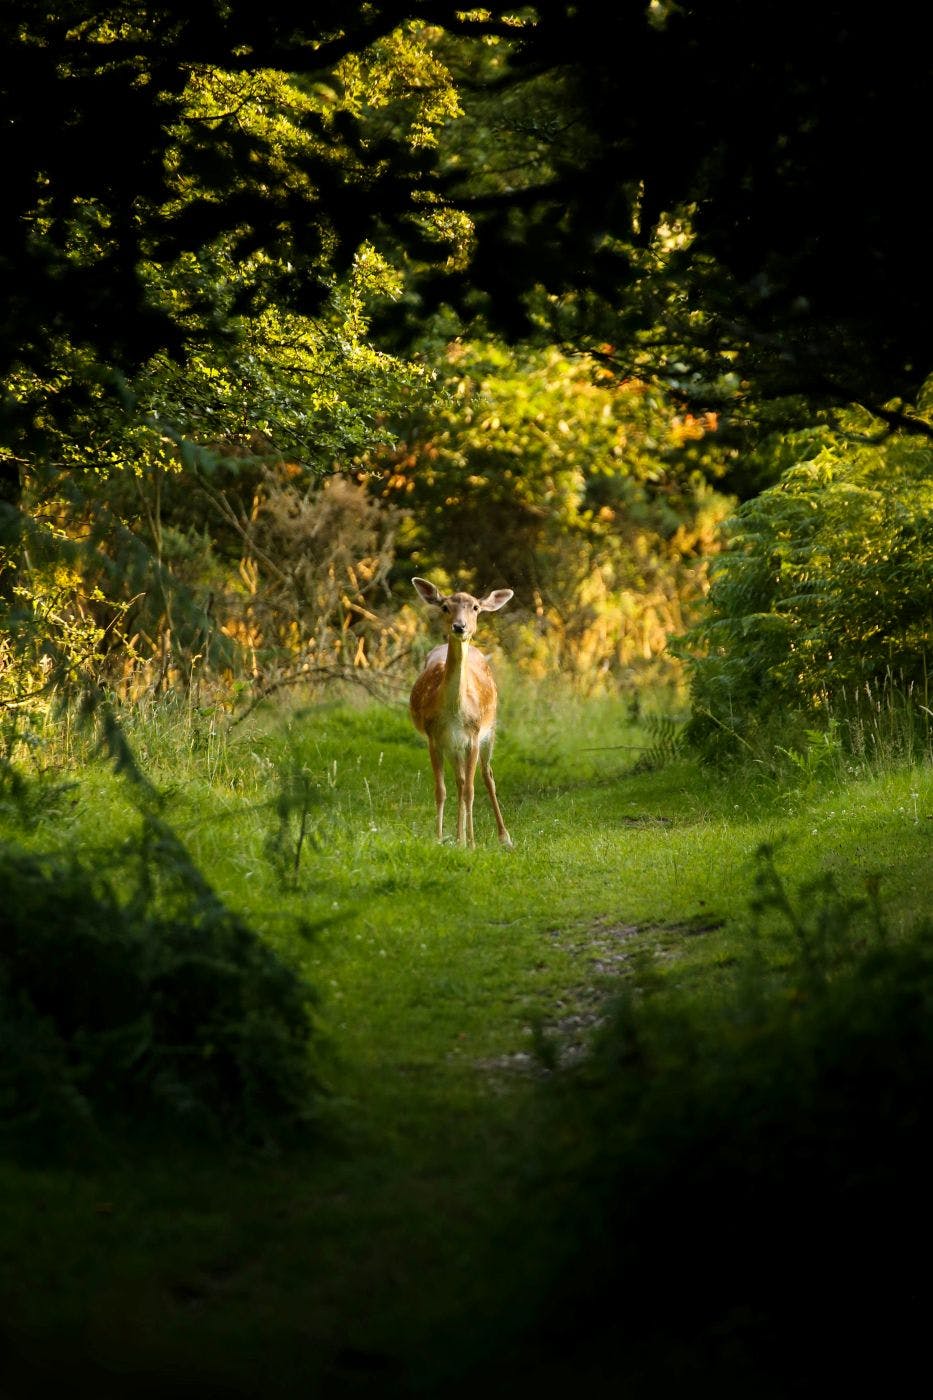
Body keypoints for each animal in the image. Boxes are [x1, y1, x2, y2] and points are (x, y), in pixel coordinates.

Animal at [409, 577, 514, 849]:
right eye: (445, 606)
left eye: (475, 607)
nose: (459, 626)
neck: (456, 712)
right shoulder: (435, 737)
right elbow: (441, 790)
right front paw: (440, 838)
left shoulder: (474, 736)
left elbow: (471, 791)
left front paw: (473, 843)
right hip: (453, 746)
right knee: (460, 781)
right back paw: (459, 838)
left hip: (490, 730)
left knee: (487, 777)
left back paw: (504, 837)